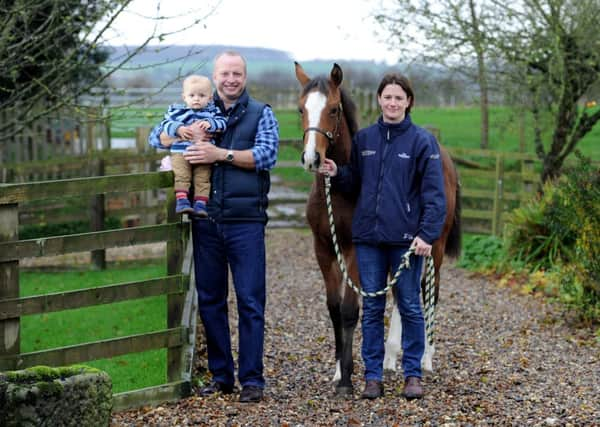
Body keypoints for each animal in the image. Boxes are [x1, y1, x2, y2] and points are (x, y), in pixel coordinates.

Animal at [294, 61, 460, 396]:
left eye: (333, 109)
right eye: (301, 109)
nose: (312, 158)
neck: (339, 191)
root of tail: (445, 157)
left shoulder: (356, 249)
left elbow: (349, 310)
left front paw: (346, 379)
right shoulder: (323, 249)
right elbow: (333, 308)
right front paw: (338, 370)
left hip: (432, 247)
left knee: (429, 292)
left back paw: (425, 358)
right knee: (400, 291)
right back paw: (390, 357)